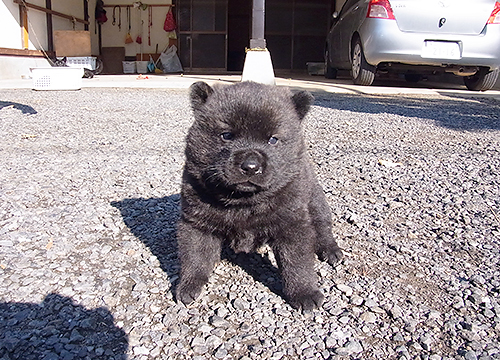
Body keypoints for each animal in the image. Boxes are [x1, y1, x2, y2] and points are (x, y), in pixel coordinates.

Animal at [177, 81, 344, 310]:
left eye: (273, 140)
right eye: (226, 135)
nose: (250, 166)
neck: (243, 201)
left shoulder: (292, 225)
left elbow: (297, 262)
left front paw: (305, 293)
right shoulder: (196, 223)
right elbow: (194, 256)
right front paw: (188, 286)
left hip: (315, 202)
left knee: (322, 227)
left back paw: (331, 251)